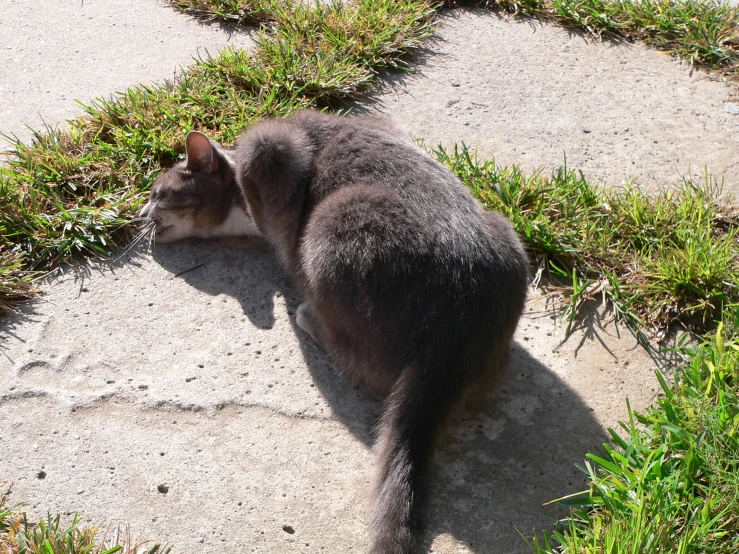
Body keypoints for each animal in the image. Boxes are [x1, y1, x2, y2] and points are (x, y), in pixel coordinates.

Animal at [140, 109, 532, 552]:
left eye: (157, 193)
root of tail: (457, 327)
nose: (139, 214)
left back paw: (306, 311)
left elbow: (273, 212)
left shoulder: (268, 149)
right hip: (506, 237)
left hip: (336, 222)